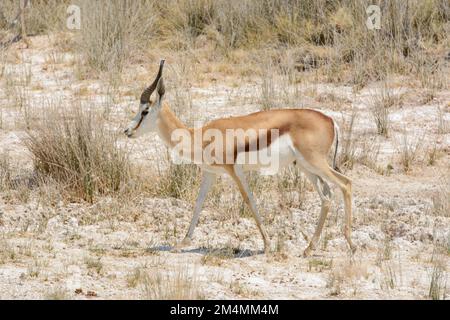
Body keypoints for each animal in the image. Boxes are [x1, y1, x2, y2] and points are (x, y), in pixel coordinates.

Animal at [124, 58, 356, 256]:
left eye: (145, 110)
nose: (127, 131)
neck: (199, 136)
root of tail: (330, 120)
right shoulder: (210, 173)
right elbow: (199, 203)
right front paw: (182, 243)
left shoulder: (234, 171)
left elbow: (249, 200)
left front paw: (267, 245)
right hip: (306, 166)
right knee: (326, 197)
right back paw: (308, 249)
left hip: (316, 162)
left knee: (345, 184)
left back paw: (351, 244)